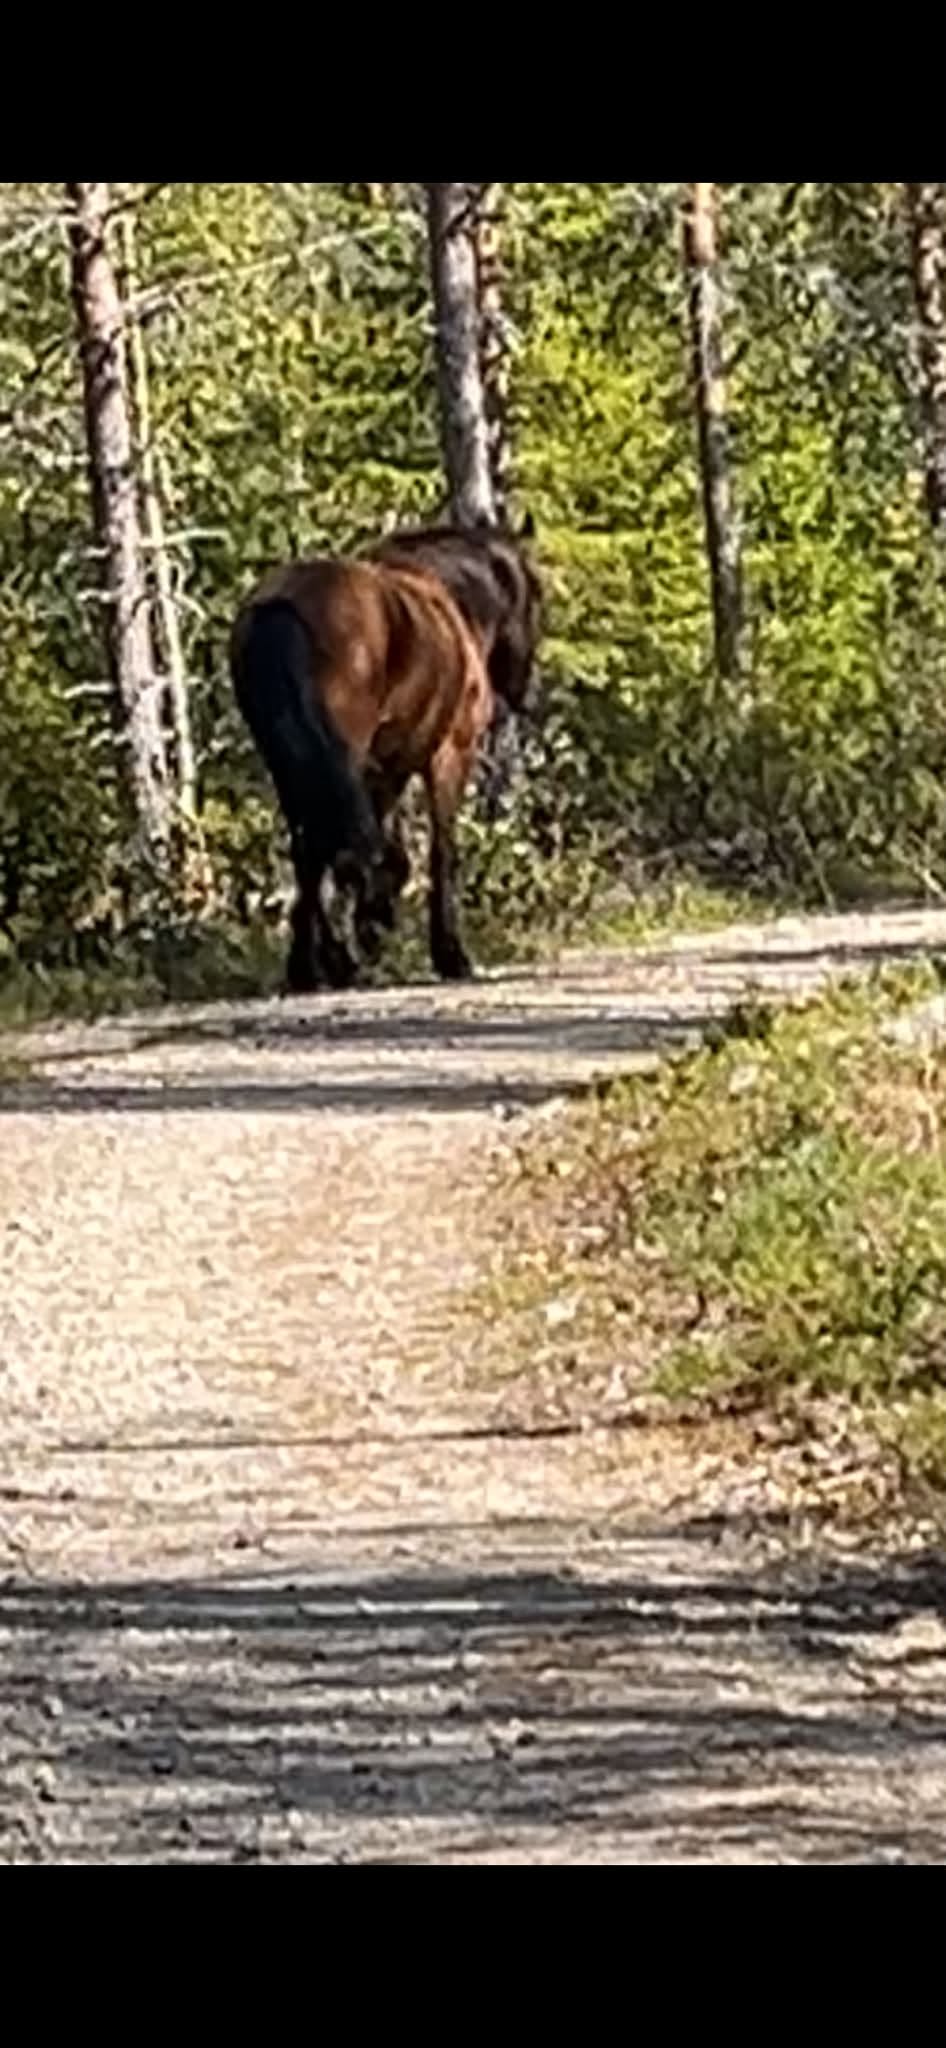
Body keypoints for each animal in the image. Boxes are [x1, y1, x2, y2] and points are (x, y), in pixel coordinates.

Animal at [230, 522, 542, 994]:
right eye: (535, 594)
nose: (523, 690)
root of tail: (280, 605)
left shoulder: (386, 771)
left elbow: (389, 851)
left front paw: (373, 922)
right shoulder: (449, 753)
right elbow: (441, 851)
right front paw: (447, 953)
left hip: (288, 760)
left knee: (309, 849)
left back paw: (313, 965)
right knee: (322, 844)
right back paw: (329, 961)